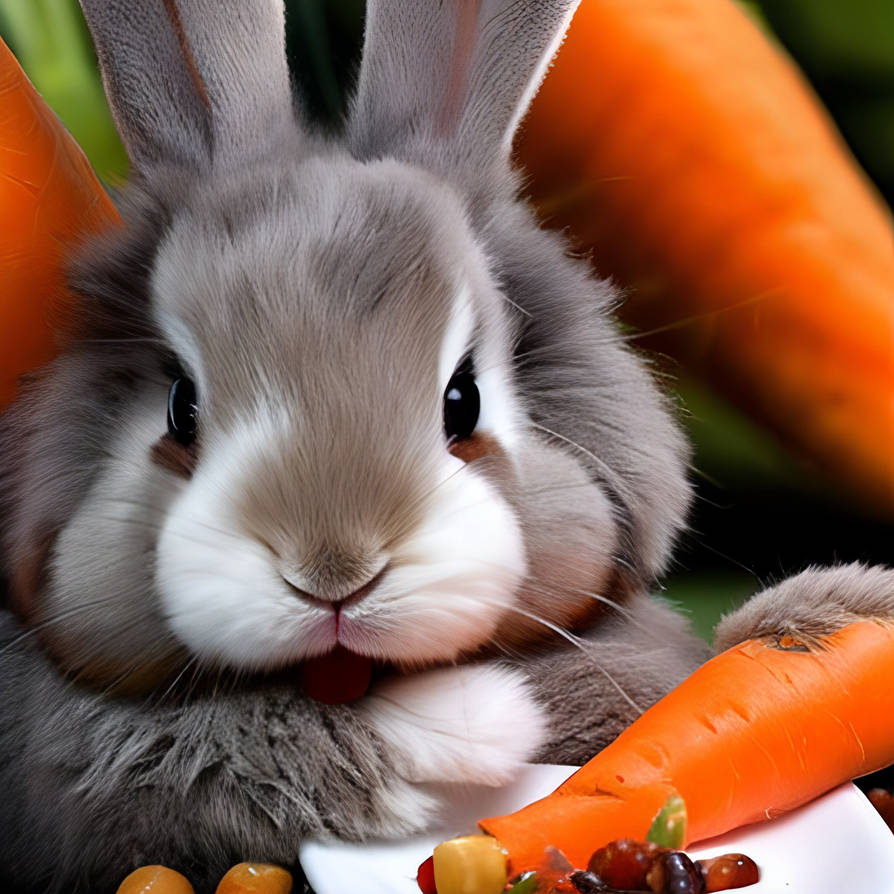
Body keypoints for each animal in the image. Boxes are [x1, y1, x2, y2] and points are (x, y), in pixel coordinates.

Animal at [1, 1, 891, 892]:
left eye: (462, 399)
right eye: (181, 406)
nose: (334, 573)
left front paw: (838, 609)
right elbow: (285, 751)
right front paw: (482, 720)